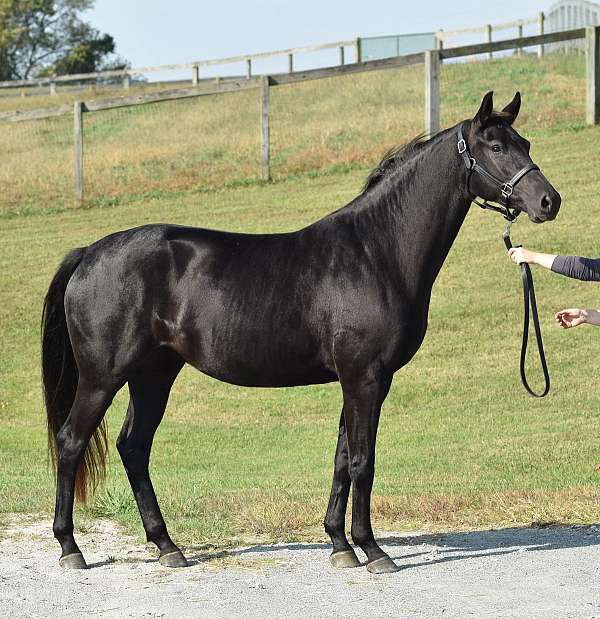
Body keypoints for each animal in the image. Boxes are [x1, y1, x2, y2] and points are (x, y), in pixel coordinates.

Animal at [43, 93, 564, 576]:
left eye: (525, 143)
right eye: (495, 146)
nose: (548, 202)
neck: (376, 252)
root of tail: (89, 253)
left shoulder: (363, 381)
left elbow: (342, 459)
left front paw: (339, 545)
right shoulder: (365, 378)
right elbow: (363, 462)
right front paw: (373, 551)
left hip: (153, 373)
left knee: (134, 447)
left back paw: (168, 546)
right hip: (103, 377)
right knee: (71, 441)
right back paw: (71, 548)